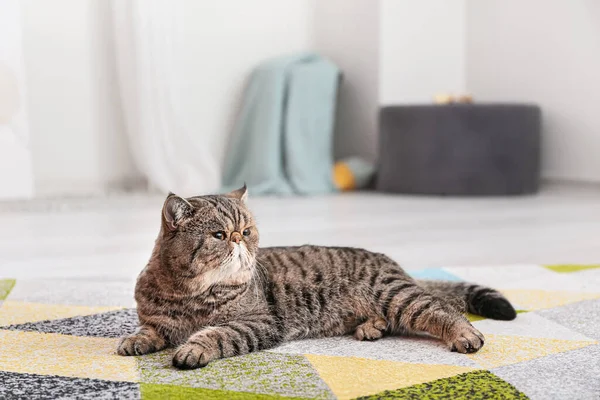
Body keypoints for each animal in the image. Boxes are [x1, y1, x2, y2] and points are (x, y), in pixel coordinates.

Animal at [116, 187, 516, 368]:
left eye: (246, 231)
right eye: (219, 234)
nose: (239, 240)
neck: (190, 294)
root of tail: (395, 264)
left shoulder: (260, 321)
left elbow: (217, 333)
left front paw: (193, 347)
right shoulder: (156, 319)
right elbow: (148, 329)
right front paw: (134, 341)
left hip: (399, 297)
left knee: (442, 309)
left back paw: (464, 334)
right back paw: (372, 327)